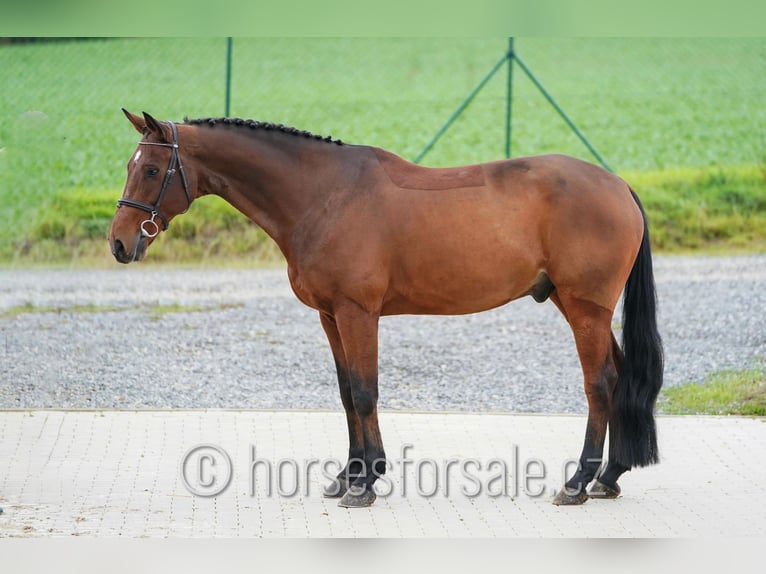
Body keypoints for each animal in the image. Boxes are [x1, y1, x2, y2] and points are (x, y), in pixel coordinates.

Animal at [109, 110, 663, 508]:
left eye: (153, 169)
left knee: (600, 383)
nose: (118, 243)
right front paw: (347, 476)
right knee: (620, 376)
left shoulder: (358, 312)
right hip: (579, 307)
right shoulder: (330, 315)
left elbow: (364, 390)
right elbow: (345, 394)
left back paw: (577, 481)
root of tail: (618, 185)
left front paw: (366, 483)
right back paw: (610, 477)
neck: (324, 195)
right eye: (130, 166)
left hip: (586, 308)